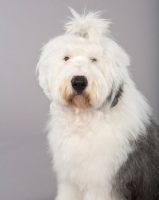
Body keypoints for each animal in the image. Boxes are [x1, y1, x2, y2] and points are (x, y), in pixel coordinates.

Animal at [36, 8, 159, 200]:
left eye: (94, 59)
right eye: (66, 58)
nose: (79, 82)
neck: (84, 118)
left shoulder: (102, 183)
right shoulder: (70, 178)